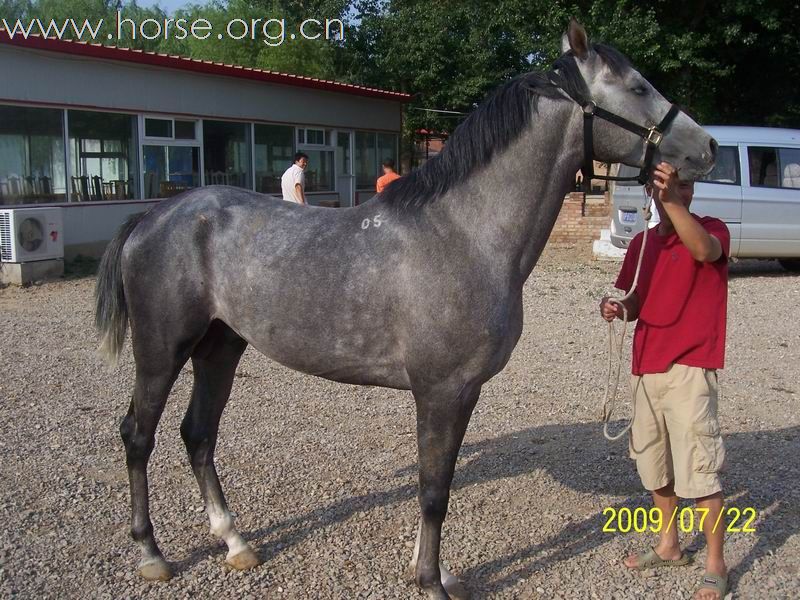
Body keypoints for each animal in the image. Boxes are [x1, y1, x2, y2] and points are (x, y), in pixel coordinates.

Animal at [95, 19, 720, 600]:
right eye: (637, 86)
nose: (708, 147)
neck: (466, 233)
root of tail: (154, 216)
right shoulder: (441, 391)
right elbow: (434, 490)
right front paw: (430, 581)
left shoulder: (462, 394)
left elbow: (436, 484)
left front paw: (433, 573)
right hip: (162, 351)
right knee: (138, 436)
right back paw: (151, 553)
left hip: (220, 347)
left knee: (198, 435)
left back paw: (235, 542)